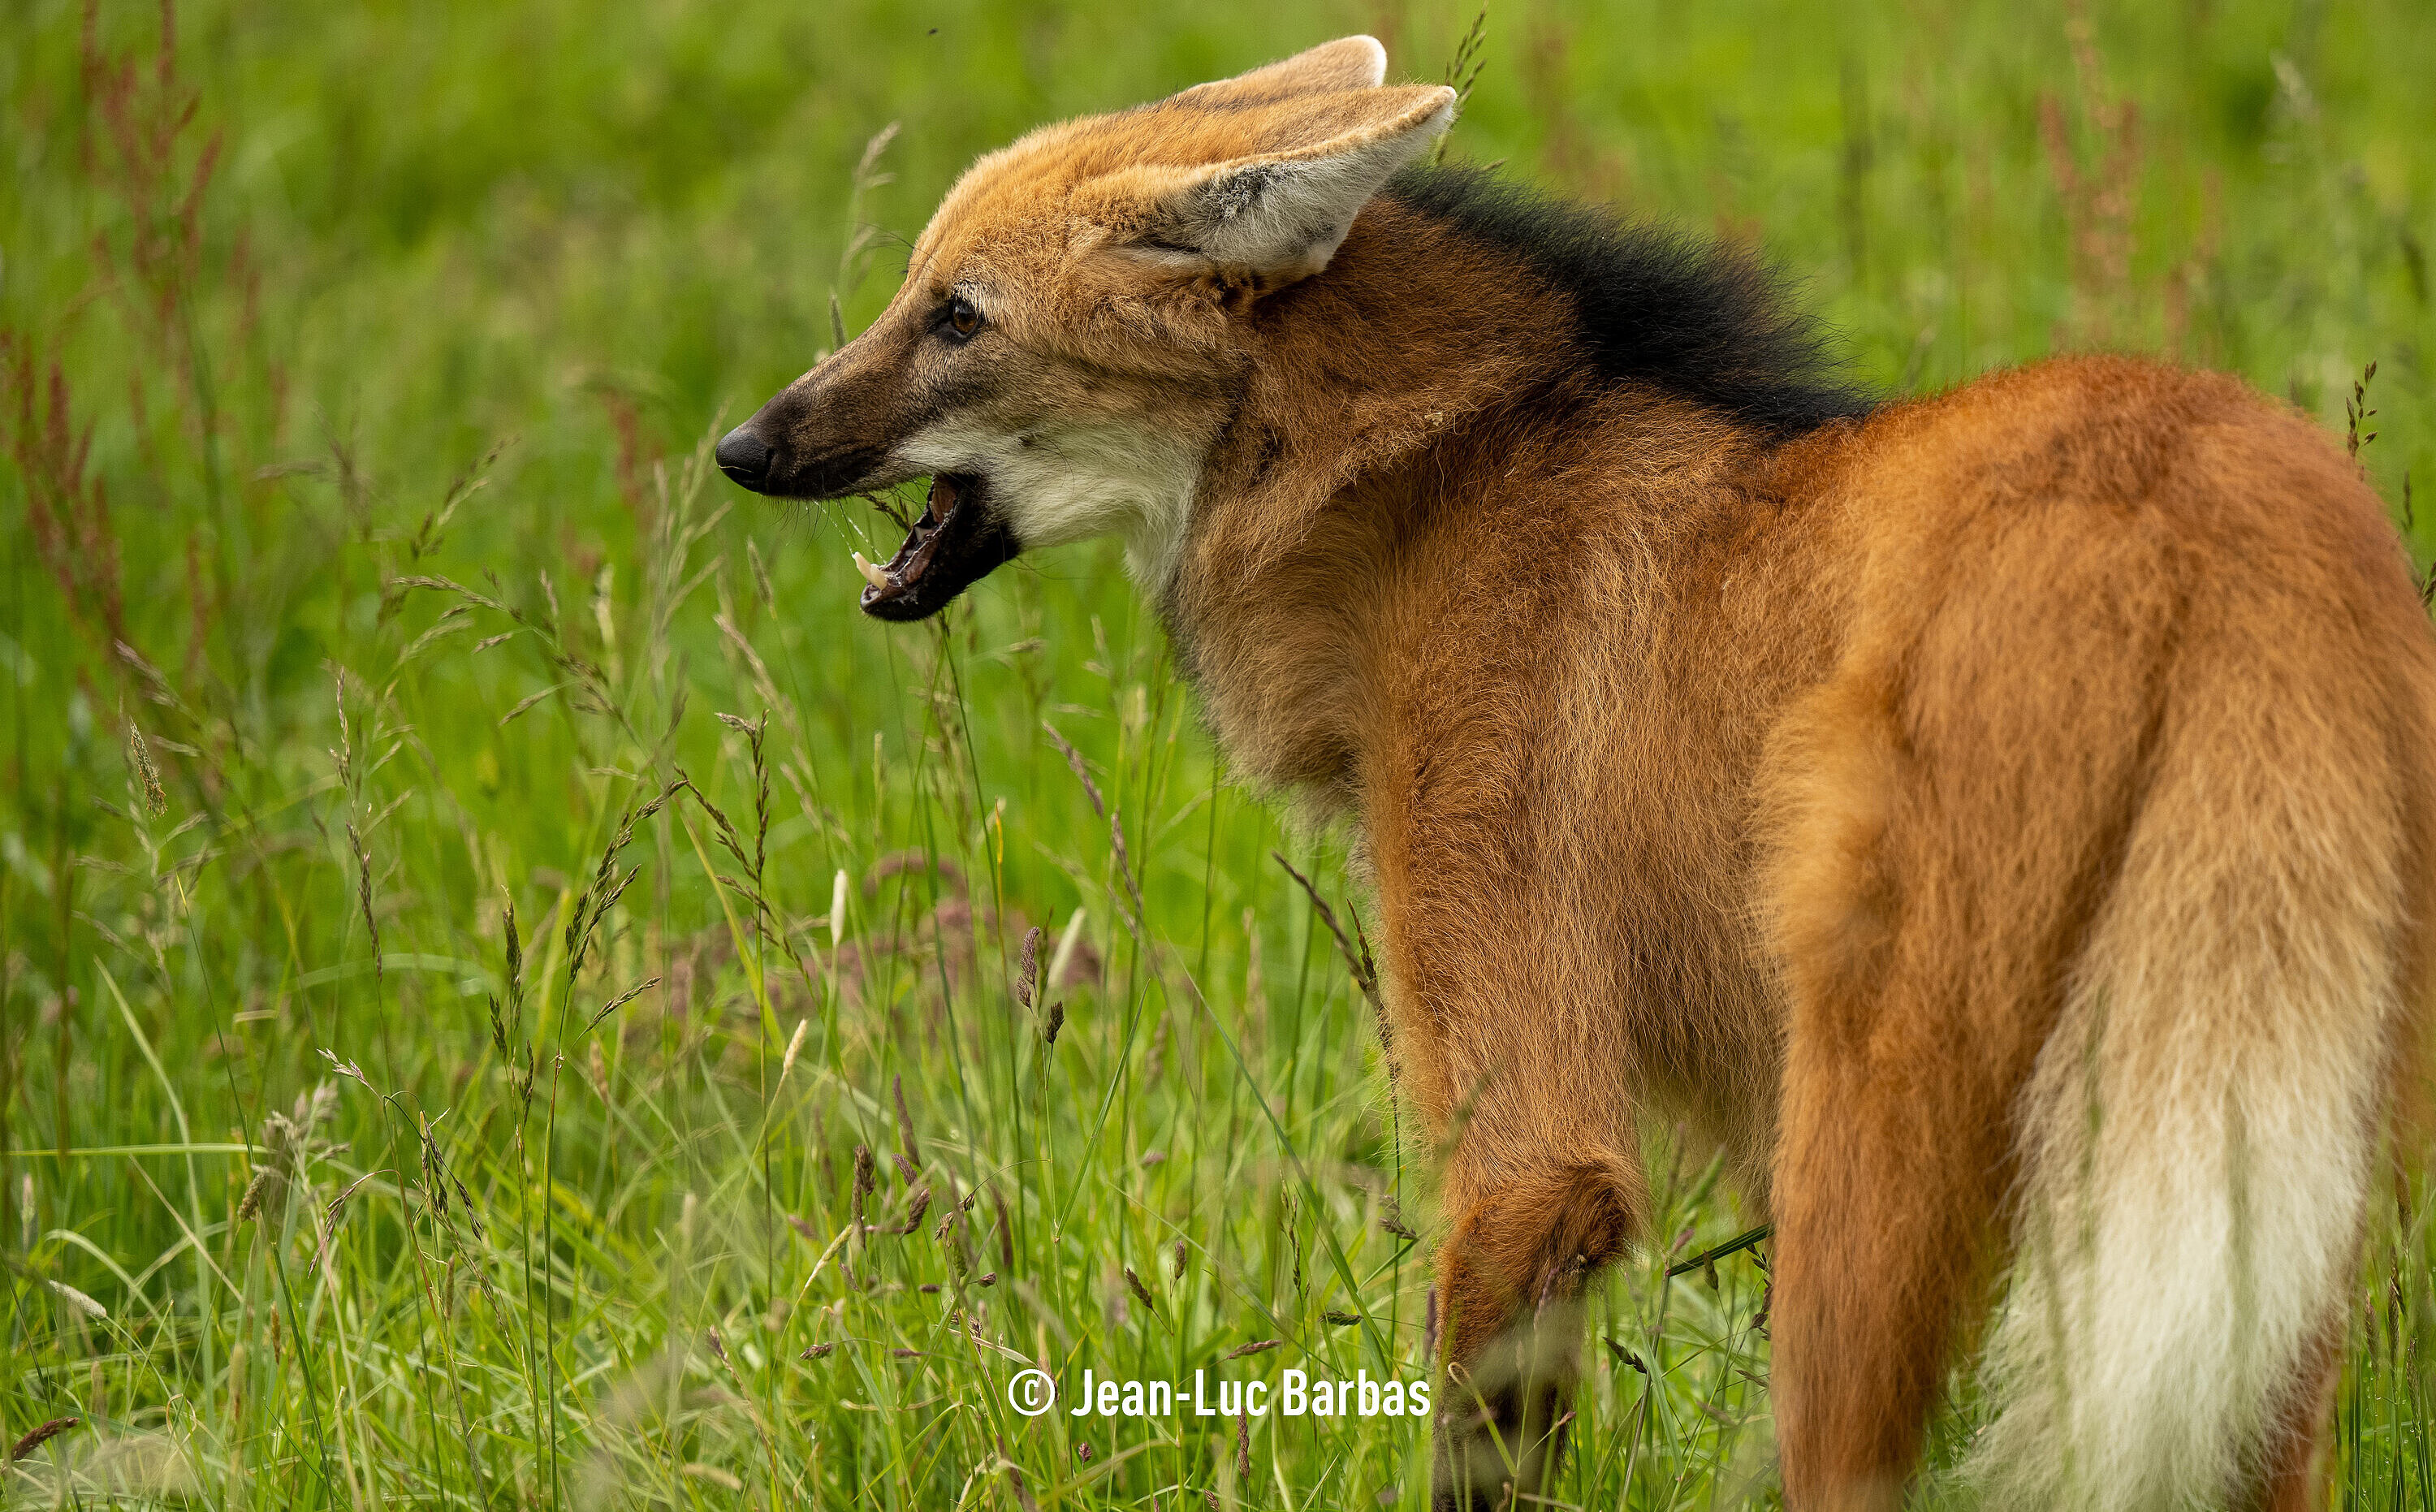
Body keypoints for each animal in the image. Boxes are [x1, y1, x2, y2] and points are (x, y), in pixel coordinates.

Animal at [715, 36, 2435, 1512]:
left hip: (1875, 1140)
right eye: (915, 293)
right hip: (2257, 1155)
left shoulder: (1530, 1122)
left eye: (956, 316)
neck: (1418, 479)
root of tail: (2221, 506)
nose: (742, 444)